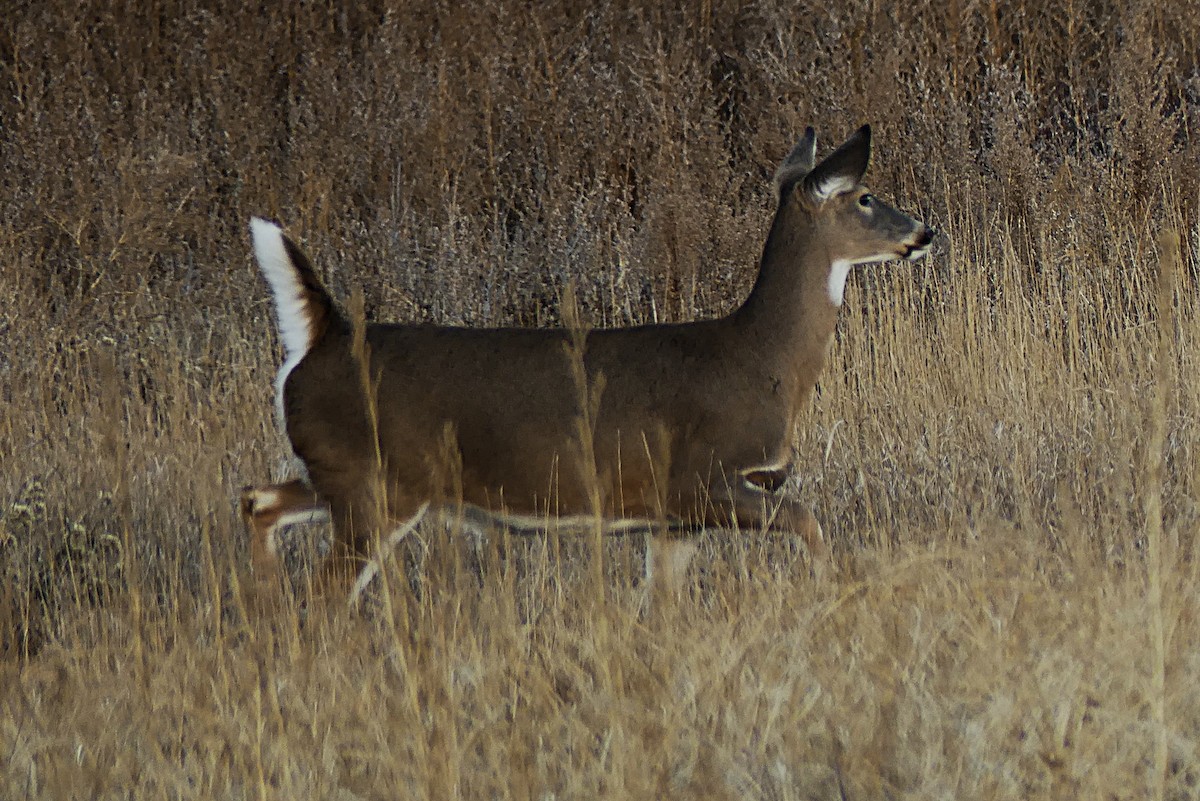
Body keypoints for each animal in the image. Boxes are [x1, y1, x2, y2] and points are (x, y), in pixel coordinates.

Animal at [240, 124, 934, 607]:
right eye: (865, 197)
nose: (924, 232)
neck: (763, 358)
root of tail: (324, 338)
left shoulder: (672, 519)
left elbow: (662, 604)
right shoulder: (698, 478)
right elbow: (808, 520)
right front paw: (832, 591)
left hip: (341, 471)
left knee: (257, 499)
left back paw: (263, 605)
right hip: (378, 485)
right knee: (325, 593)